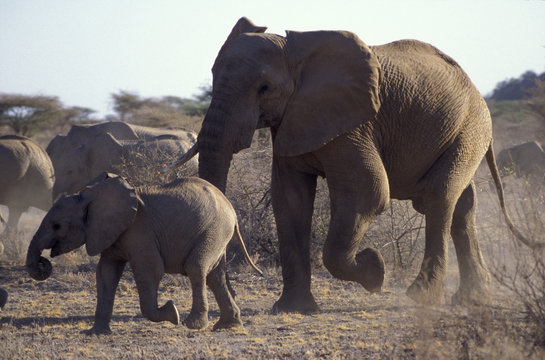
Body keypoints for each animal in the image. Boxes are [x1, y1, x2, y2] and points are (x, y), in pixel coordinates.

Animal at [25, 173, 262, 334]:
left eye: (56, 226)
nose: (43, 262)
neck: (88, 196)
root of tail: (231, 207)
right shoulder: (110, 233)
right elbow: (106, 273)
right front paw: (96, 333)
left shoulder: (139, 230)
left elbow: (150, 270)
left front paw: (172, 312)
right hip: (217, 232)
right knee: (215, 275)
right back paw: (227, 326)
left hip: (215, 228)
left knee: (196, 268)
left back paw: (192, 325)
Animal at [171, 18, 540, 314]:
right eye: (213, 77)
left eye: (264, 88)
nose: (233, 294)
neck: (296, 53)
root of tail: (476, 89)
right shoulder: (293, 121)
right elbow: (290, 201)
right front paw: (293, 309)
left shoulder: (353, 124)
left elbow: (368, 193)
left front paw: (374, 271)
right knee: (463, 206)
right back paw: (472, 300)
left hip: (470, 126)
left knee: (438, 197)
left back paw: (422, 297)